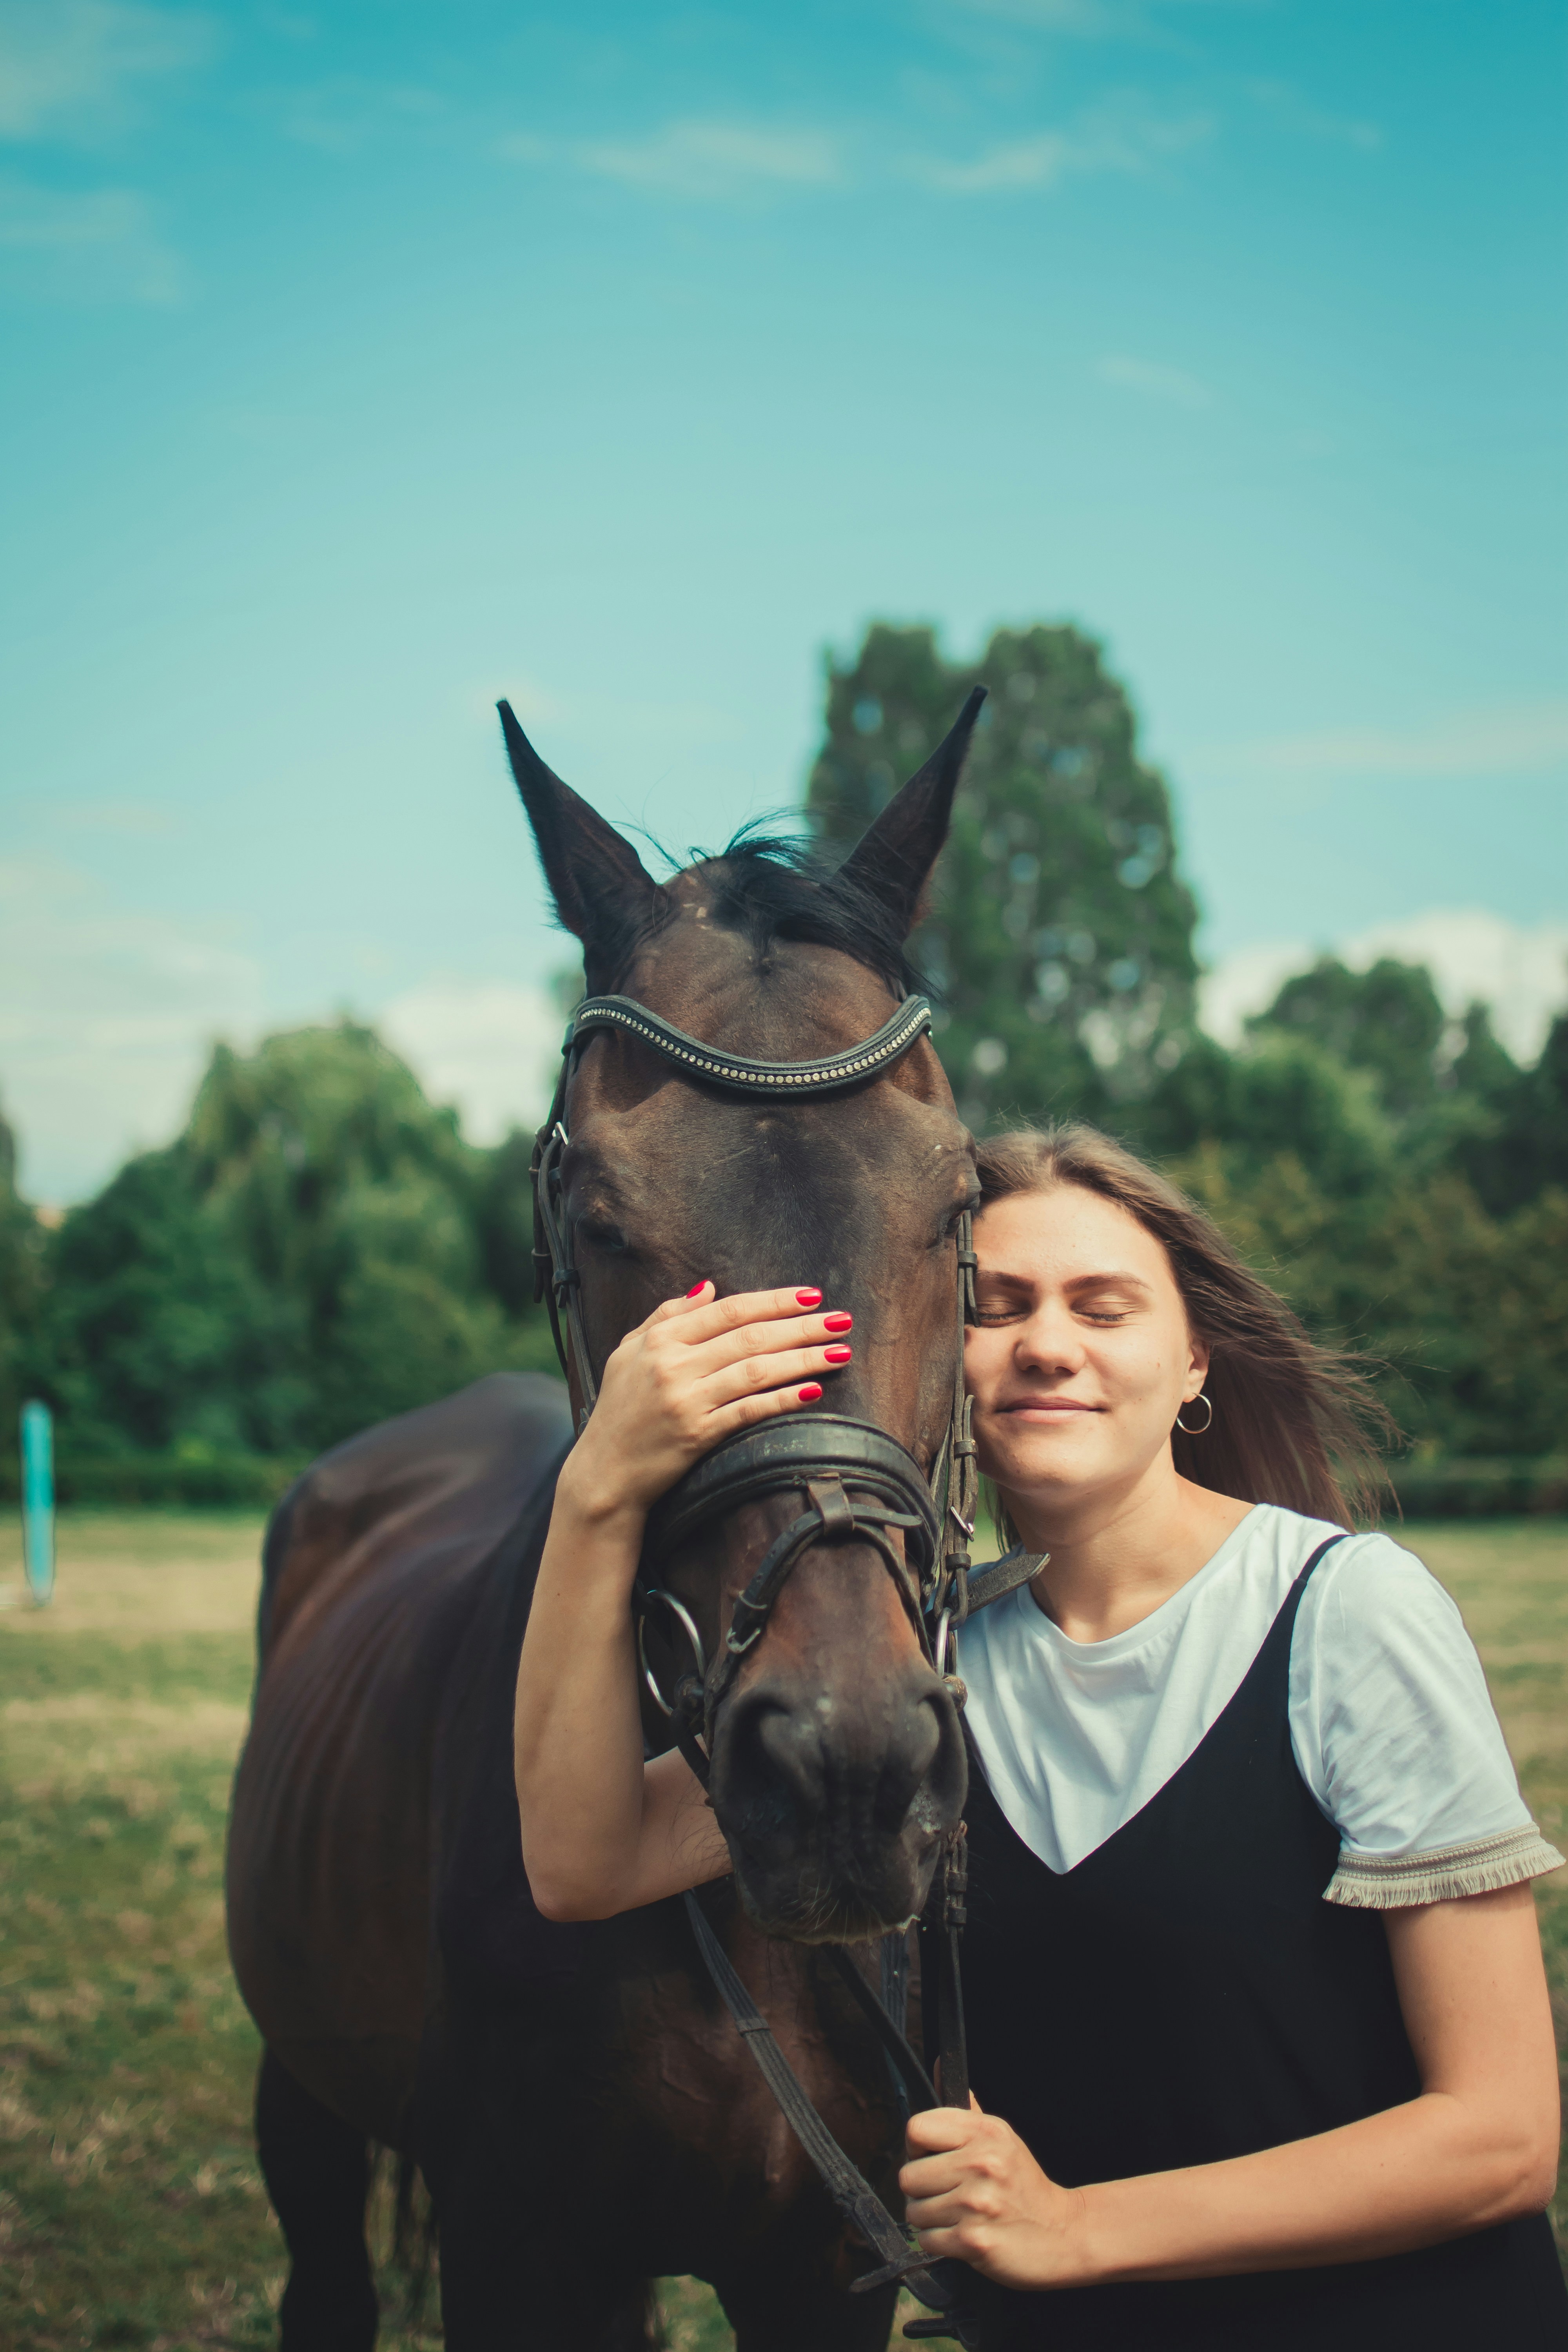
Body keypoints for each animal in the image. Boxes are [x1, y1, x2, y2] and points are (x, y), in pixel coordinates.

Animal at [225, 691, 986, 2350]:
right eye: (598, 1218)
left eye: (954, 1203)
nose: (843, 1765)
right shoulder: (521, 2254)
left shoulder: (823, 2278)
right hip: (300, 2094)